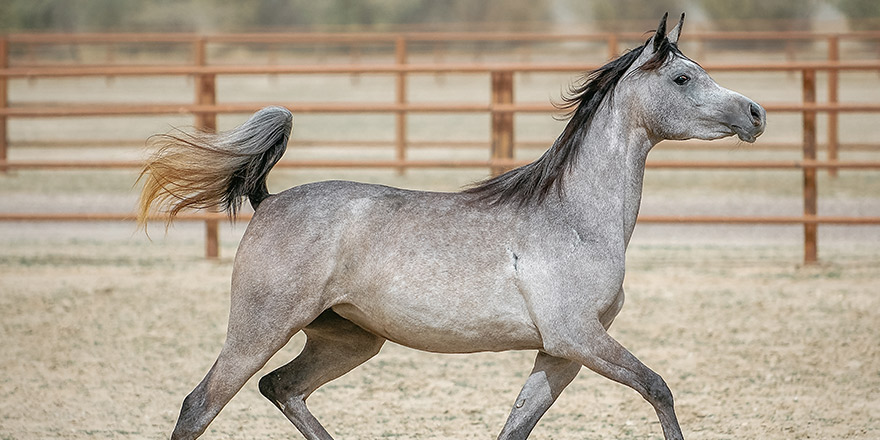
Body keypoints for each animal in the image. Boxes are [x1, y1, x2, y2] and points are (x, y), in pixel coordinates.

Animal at [138, 13, 764, 440]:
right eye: (683, 78)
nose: (755, 113)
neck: (575, 218)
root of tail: (268, 203)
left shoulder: (560, 353)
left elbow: (516, 426)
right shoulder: (578, 337)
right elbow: (659, 387)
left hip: (349, 340)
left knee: (281, 388)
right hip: (259, 330)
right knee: (199, 406)